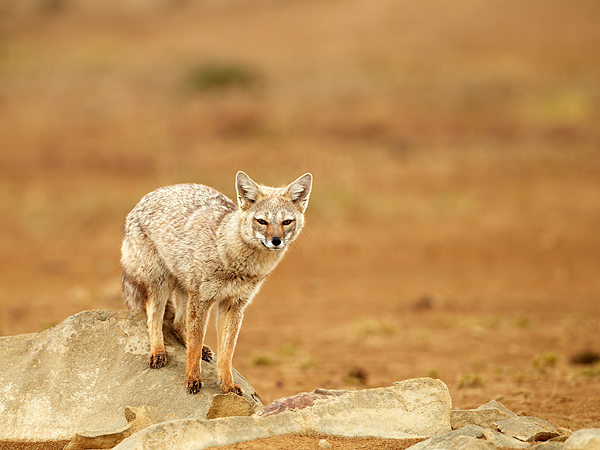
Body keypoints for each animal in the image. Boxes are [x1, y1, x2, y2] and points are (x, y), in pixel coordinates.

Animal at [120, 171, 312, 396]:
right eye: (262, 221)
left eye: (287, 221)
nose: (275, 241)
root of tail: (148, 196)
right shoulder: (202, 298)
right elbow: (194, 346)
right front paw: (192, 379)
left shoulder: (233, 304)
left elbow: (227, 351)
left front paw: (227, 384)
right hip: (161, 283)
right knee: (154, 318)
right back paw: (158, 352)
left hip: (184, 288)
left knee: (177, 323)